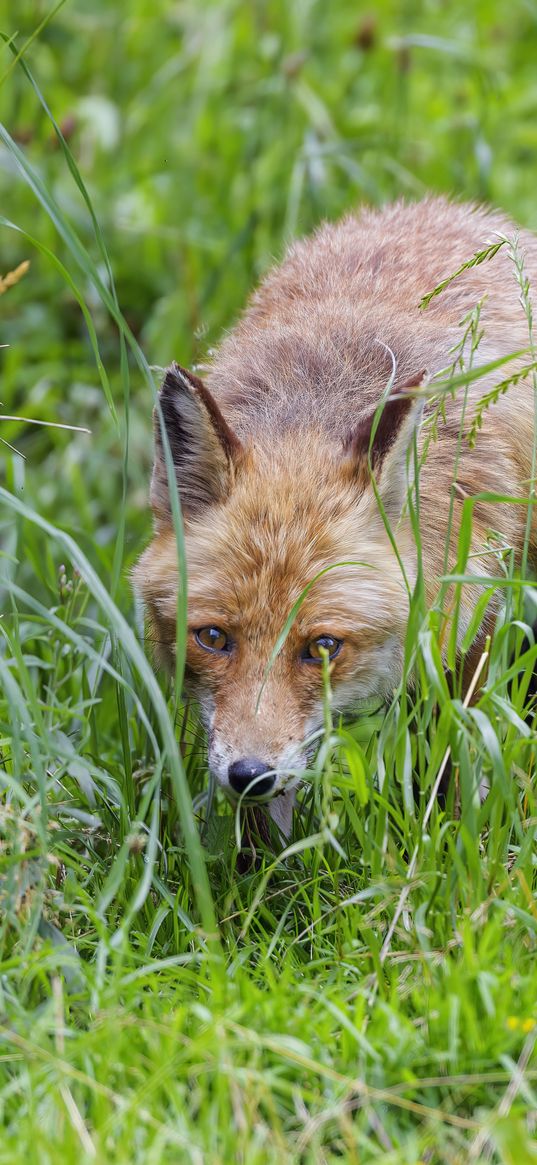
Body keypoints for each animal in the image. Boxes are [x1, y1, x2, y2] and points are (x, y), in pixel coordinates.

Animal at [133, 200, 535, 838]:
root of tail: (440, 207)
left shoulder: (473, 617)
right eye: (213, 638)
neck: (314, 410)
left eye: (323, 647)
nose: (251, 775)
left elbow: (455, 751)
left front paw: (450, 830)